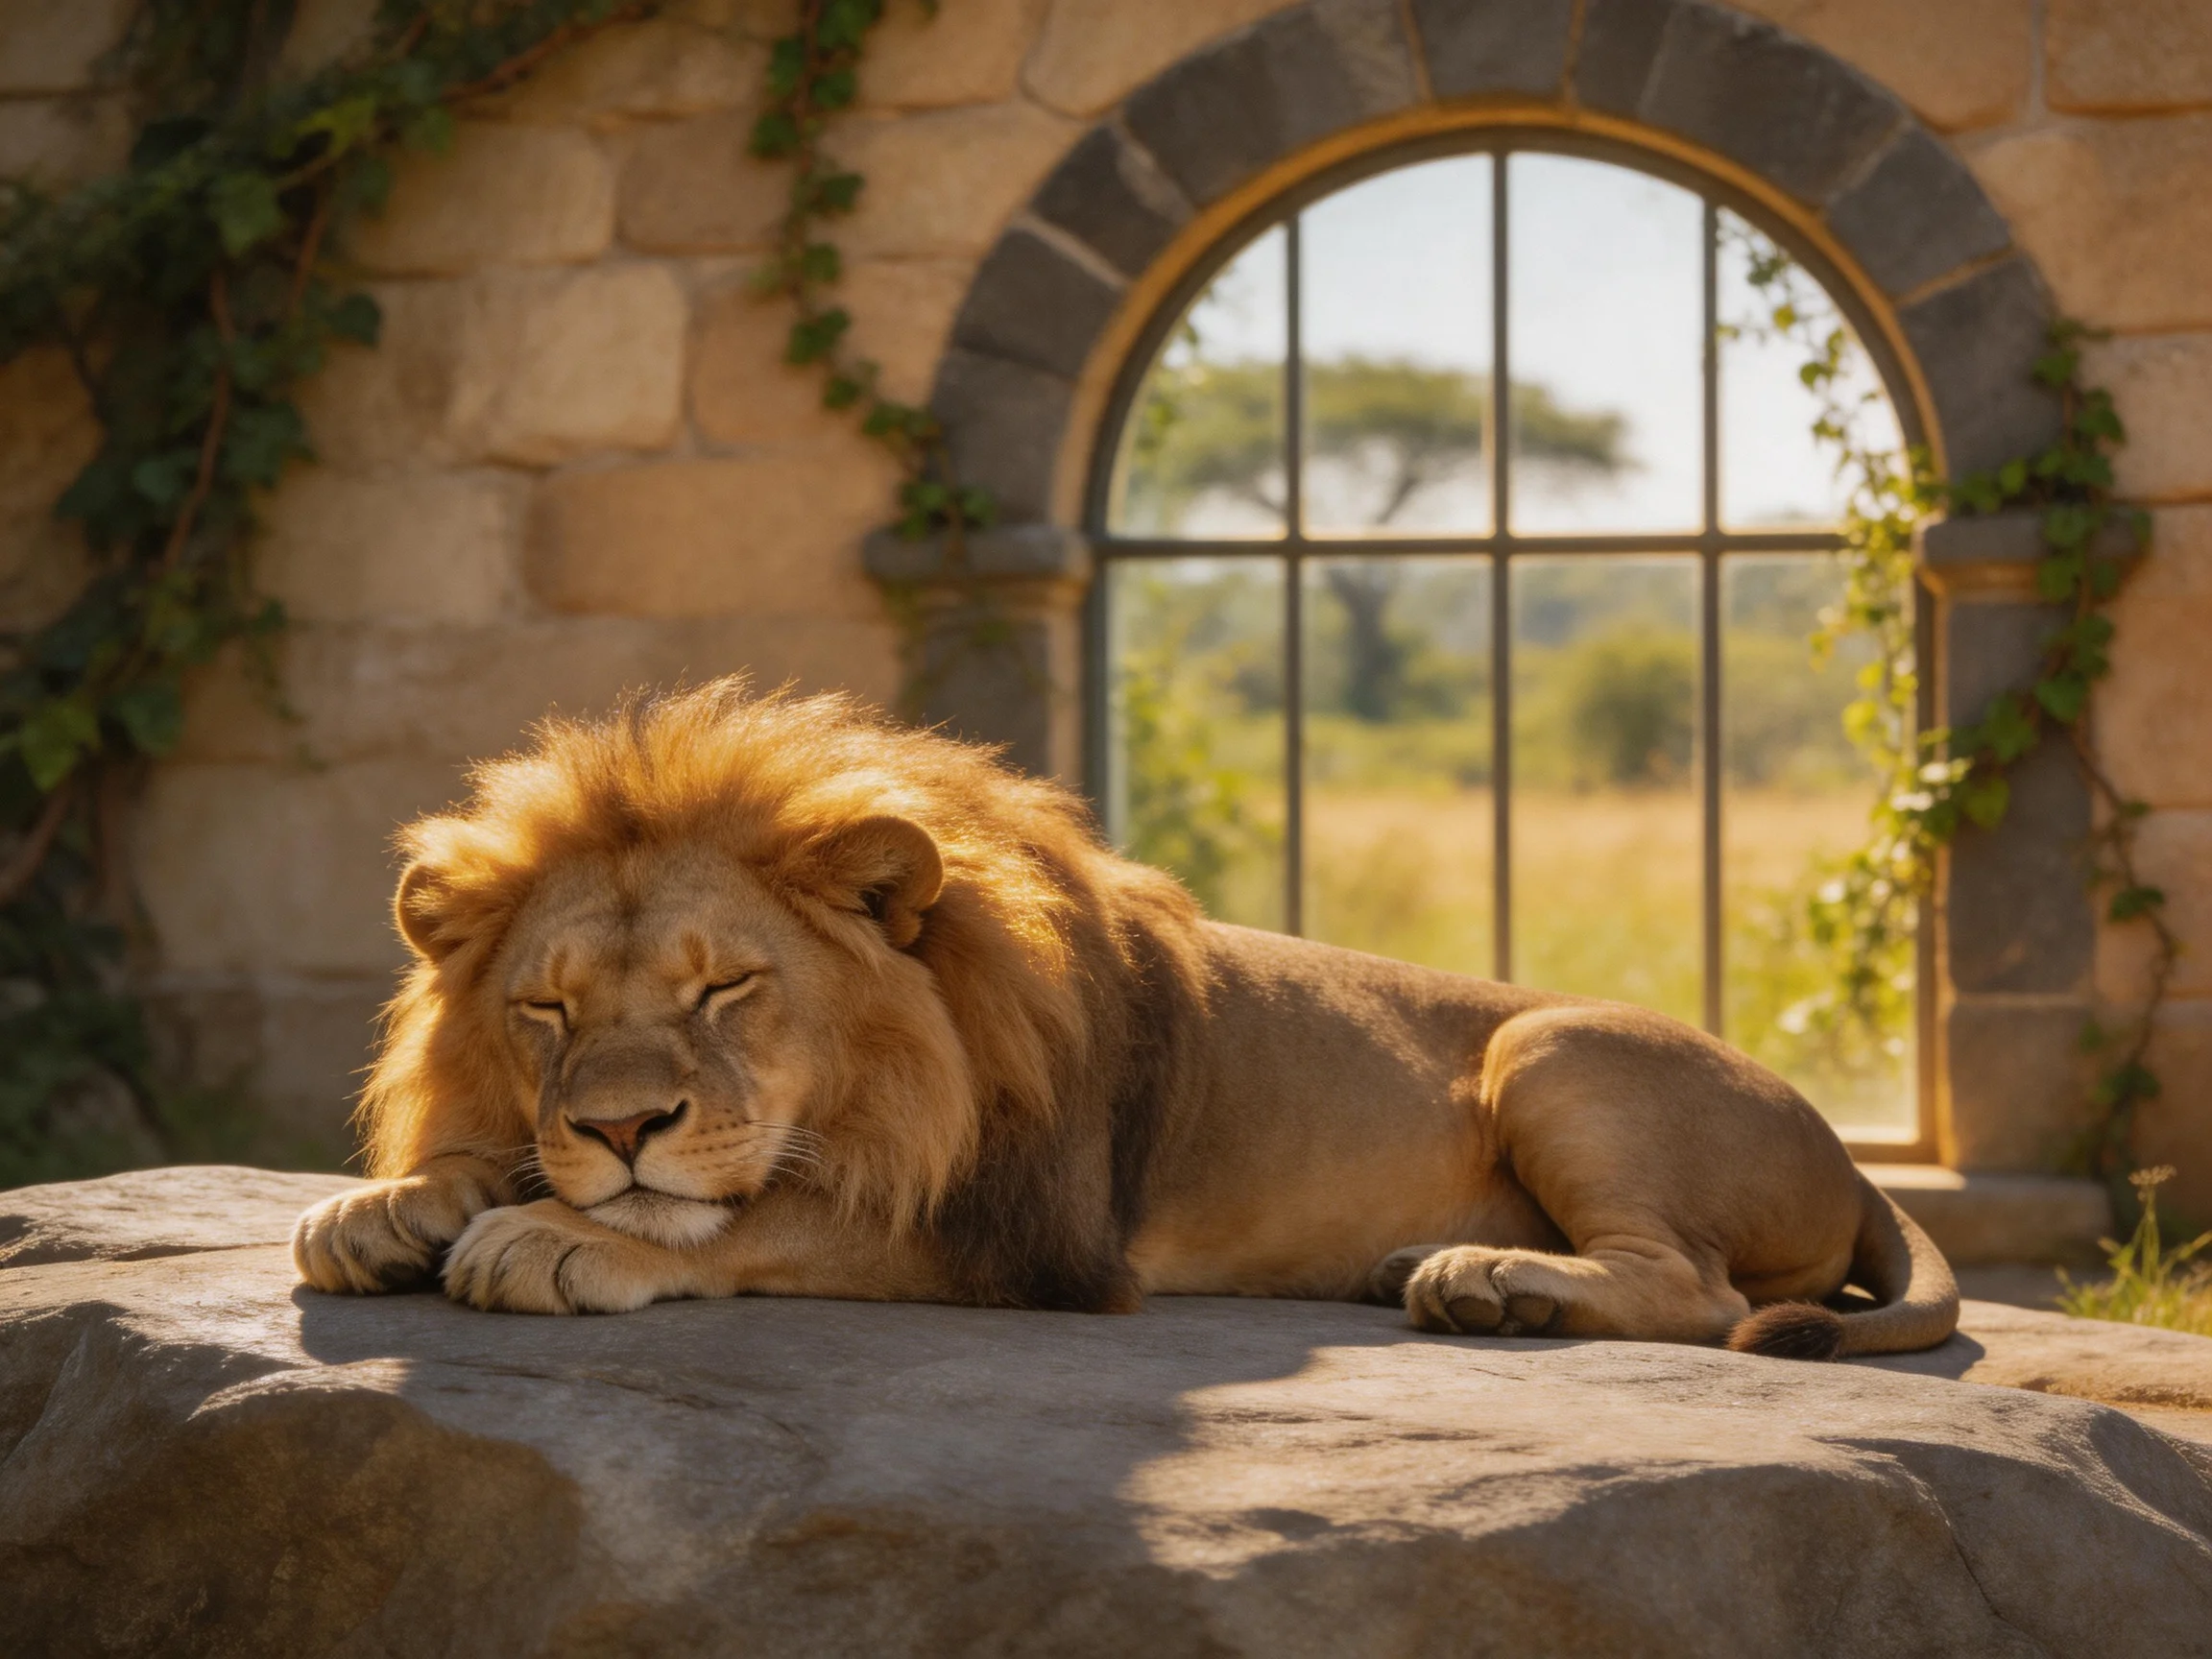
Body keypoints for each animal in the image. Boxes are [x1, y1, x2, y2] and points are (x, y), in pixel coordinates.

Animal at [294, 680, 1958, 1360]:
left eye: (726, 988)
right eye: (547, 1010)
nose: (622, 1125)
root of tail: (1857, 1157)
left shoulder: (1029, 1235)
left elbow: (757, 1219)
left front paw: (560, 1236)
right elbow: (487, 1166)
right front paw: (387, 1205)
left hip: (1548, 1048)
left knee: (1697, 1290)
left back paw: (1496, 1282)